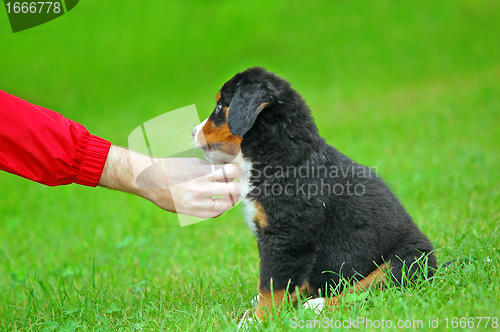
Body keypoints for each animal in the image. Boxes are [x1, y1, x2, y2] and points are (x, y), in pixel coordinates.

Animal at [191, 67, 438, 322]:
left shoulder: (287, 238)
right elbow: (276, 282)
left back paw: (317, 305)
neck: (283, 156)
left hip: (407, 260)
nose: (192, 133)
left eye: (220, 106)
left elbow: (272, 285)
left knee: (366, 288)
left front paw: (259, 319)